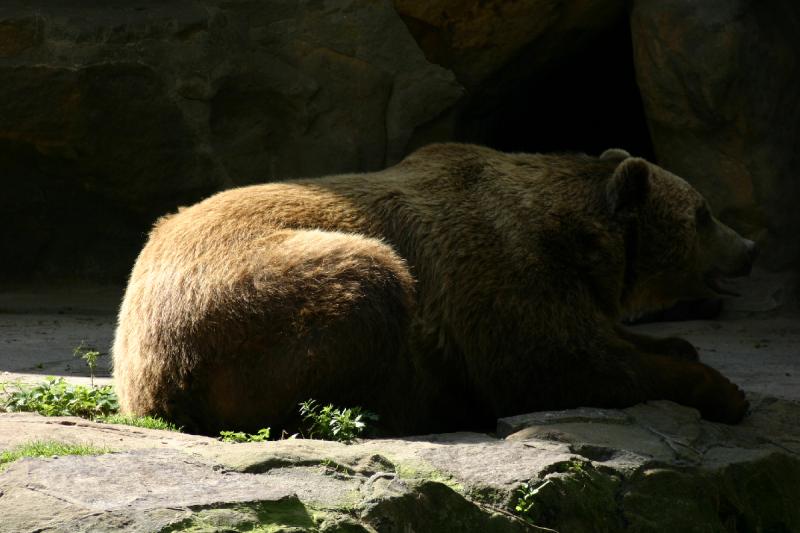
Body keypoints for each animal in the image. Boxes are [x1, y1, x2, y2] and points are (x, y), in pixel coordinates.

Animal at [112, 143, 756, 434]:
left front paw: (679, 345)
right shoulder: (499, 269)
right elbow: (554, 366)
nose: (749, 248)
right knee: (366, 286)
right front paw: (723, 391)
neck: (575, 242)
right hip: (246, 298)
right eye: (703, 213)